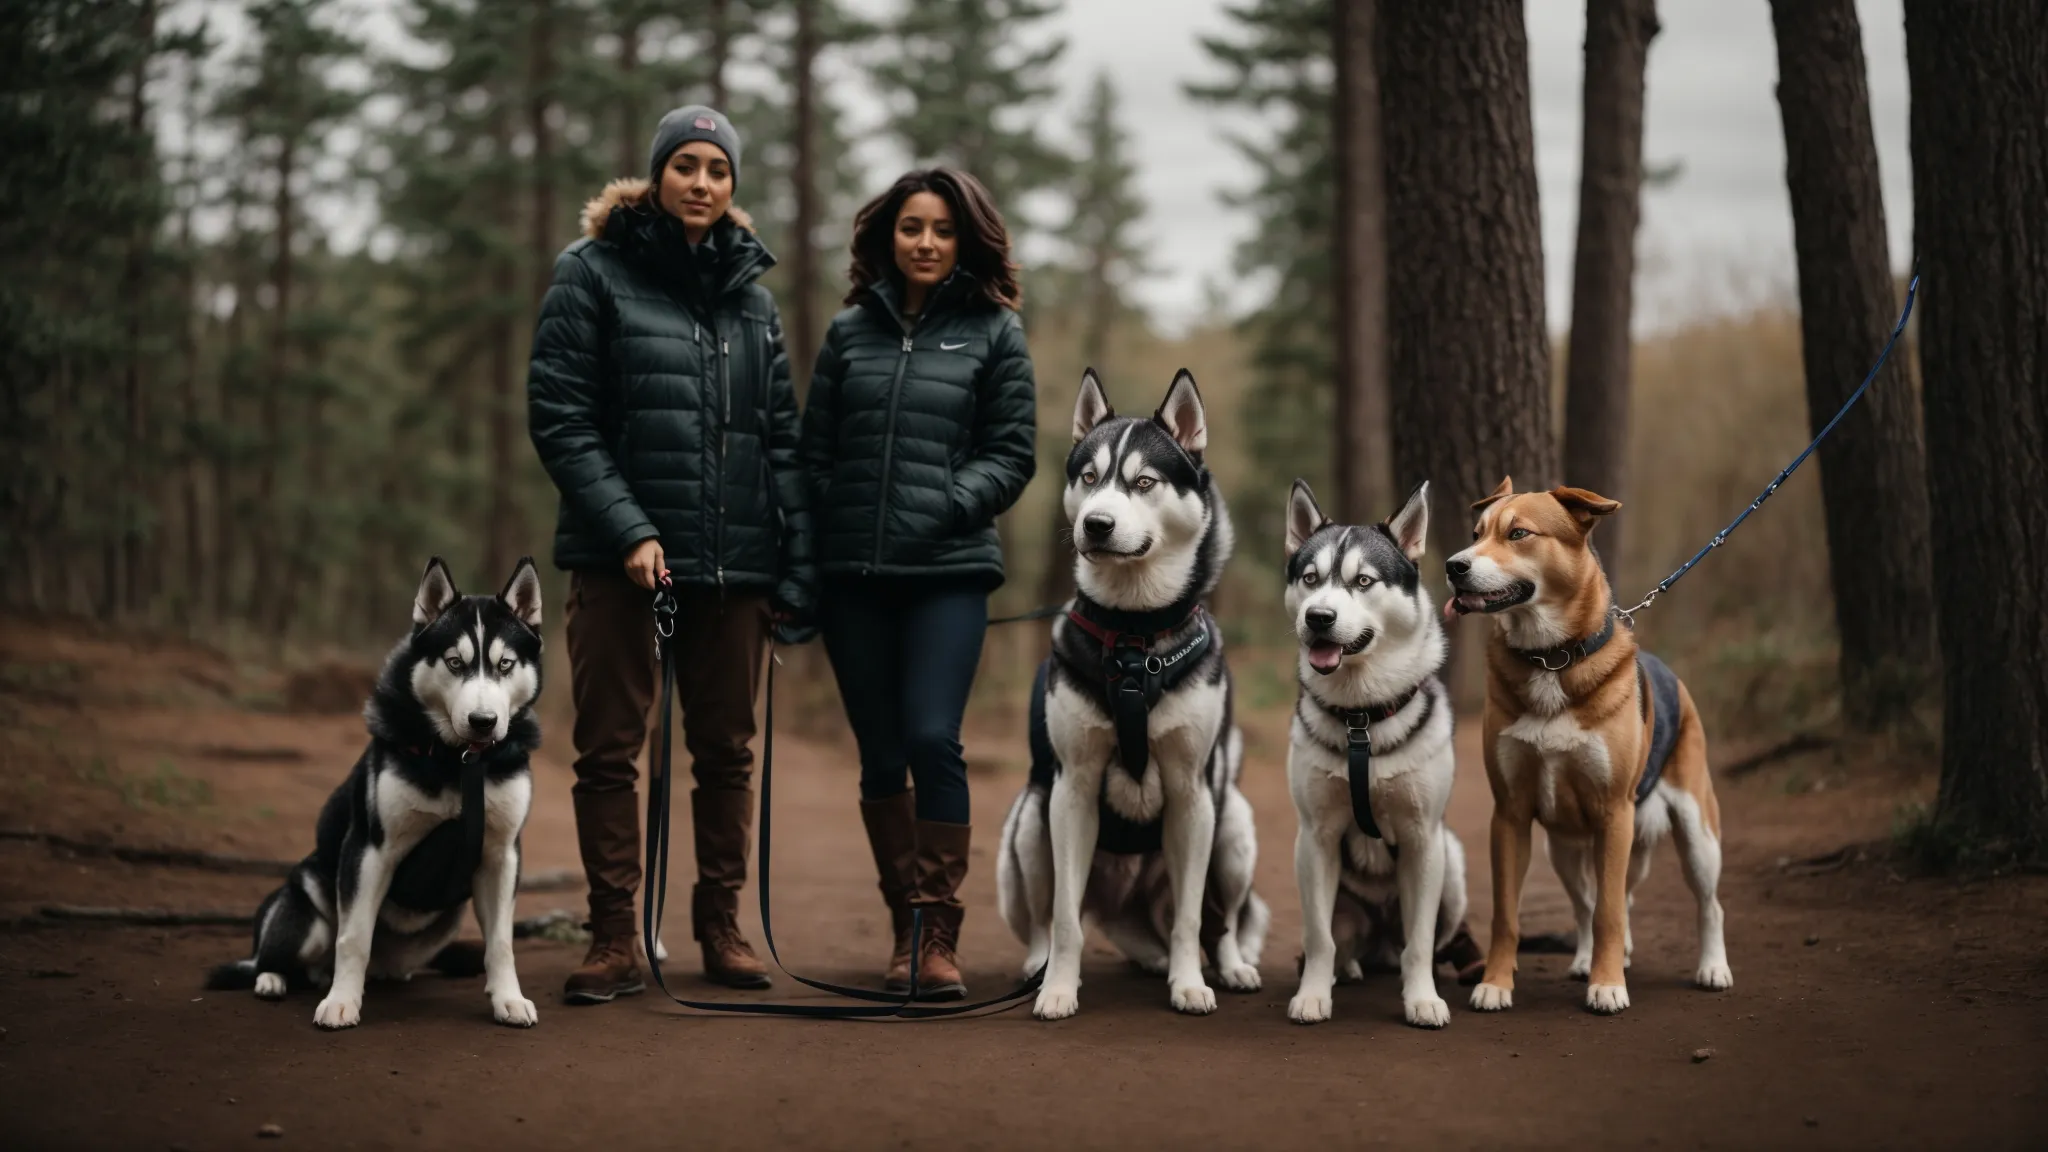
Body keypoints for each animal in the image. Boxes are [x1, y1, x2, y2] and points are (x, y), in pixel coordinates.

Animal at [1441, 479, 1728, 1008]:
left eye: (1518, 533)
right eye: (1475, 534)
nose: (1454, 566)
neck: (1550, 658)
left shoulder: (1615, 813)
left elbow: (1610, 912)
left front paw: (1608, 984)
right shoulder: (1510, 814)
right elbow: (1508, 915)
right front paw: (1496, 984)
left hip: (1697, 832)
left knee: (1705, 905)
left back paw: (1713, 968)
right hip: (1564, 849)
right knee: (1585, 904)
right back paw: (1583, 960)